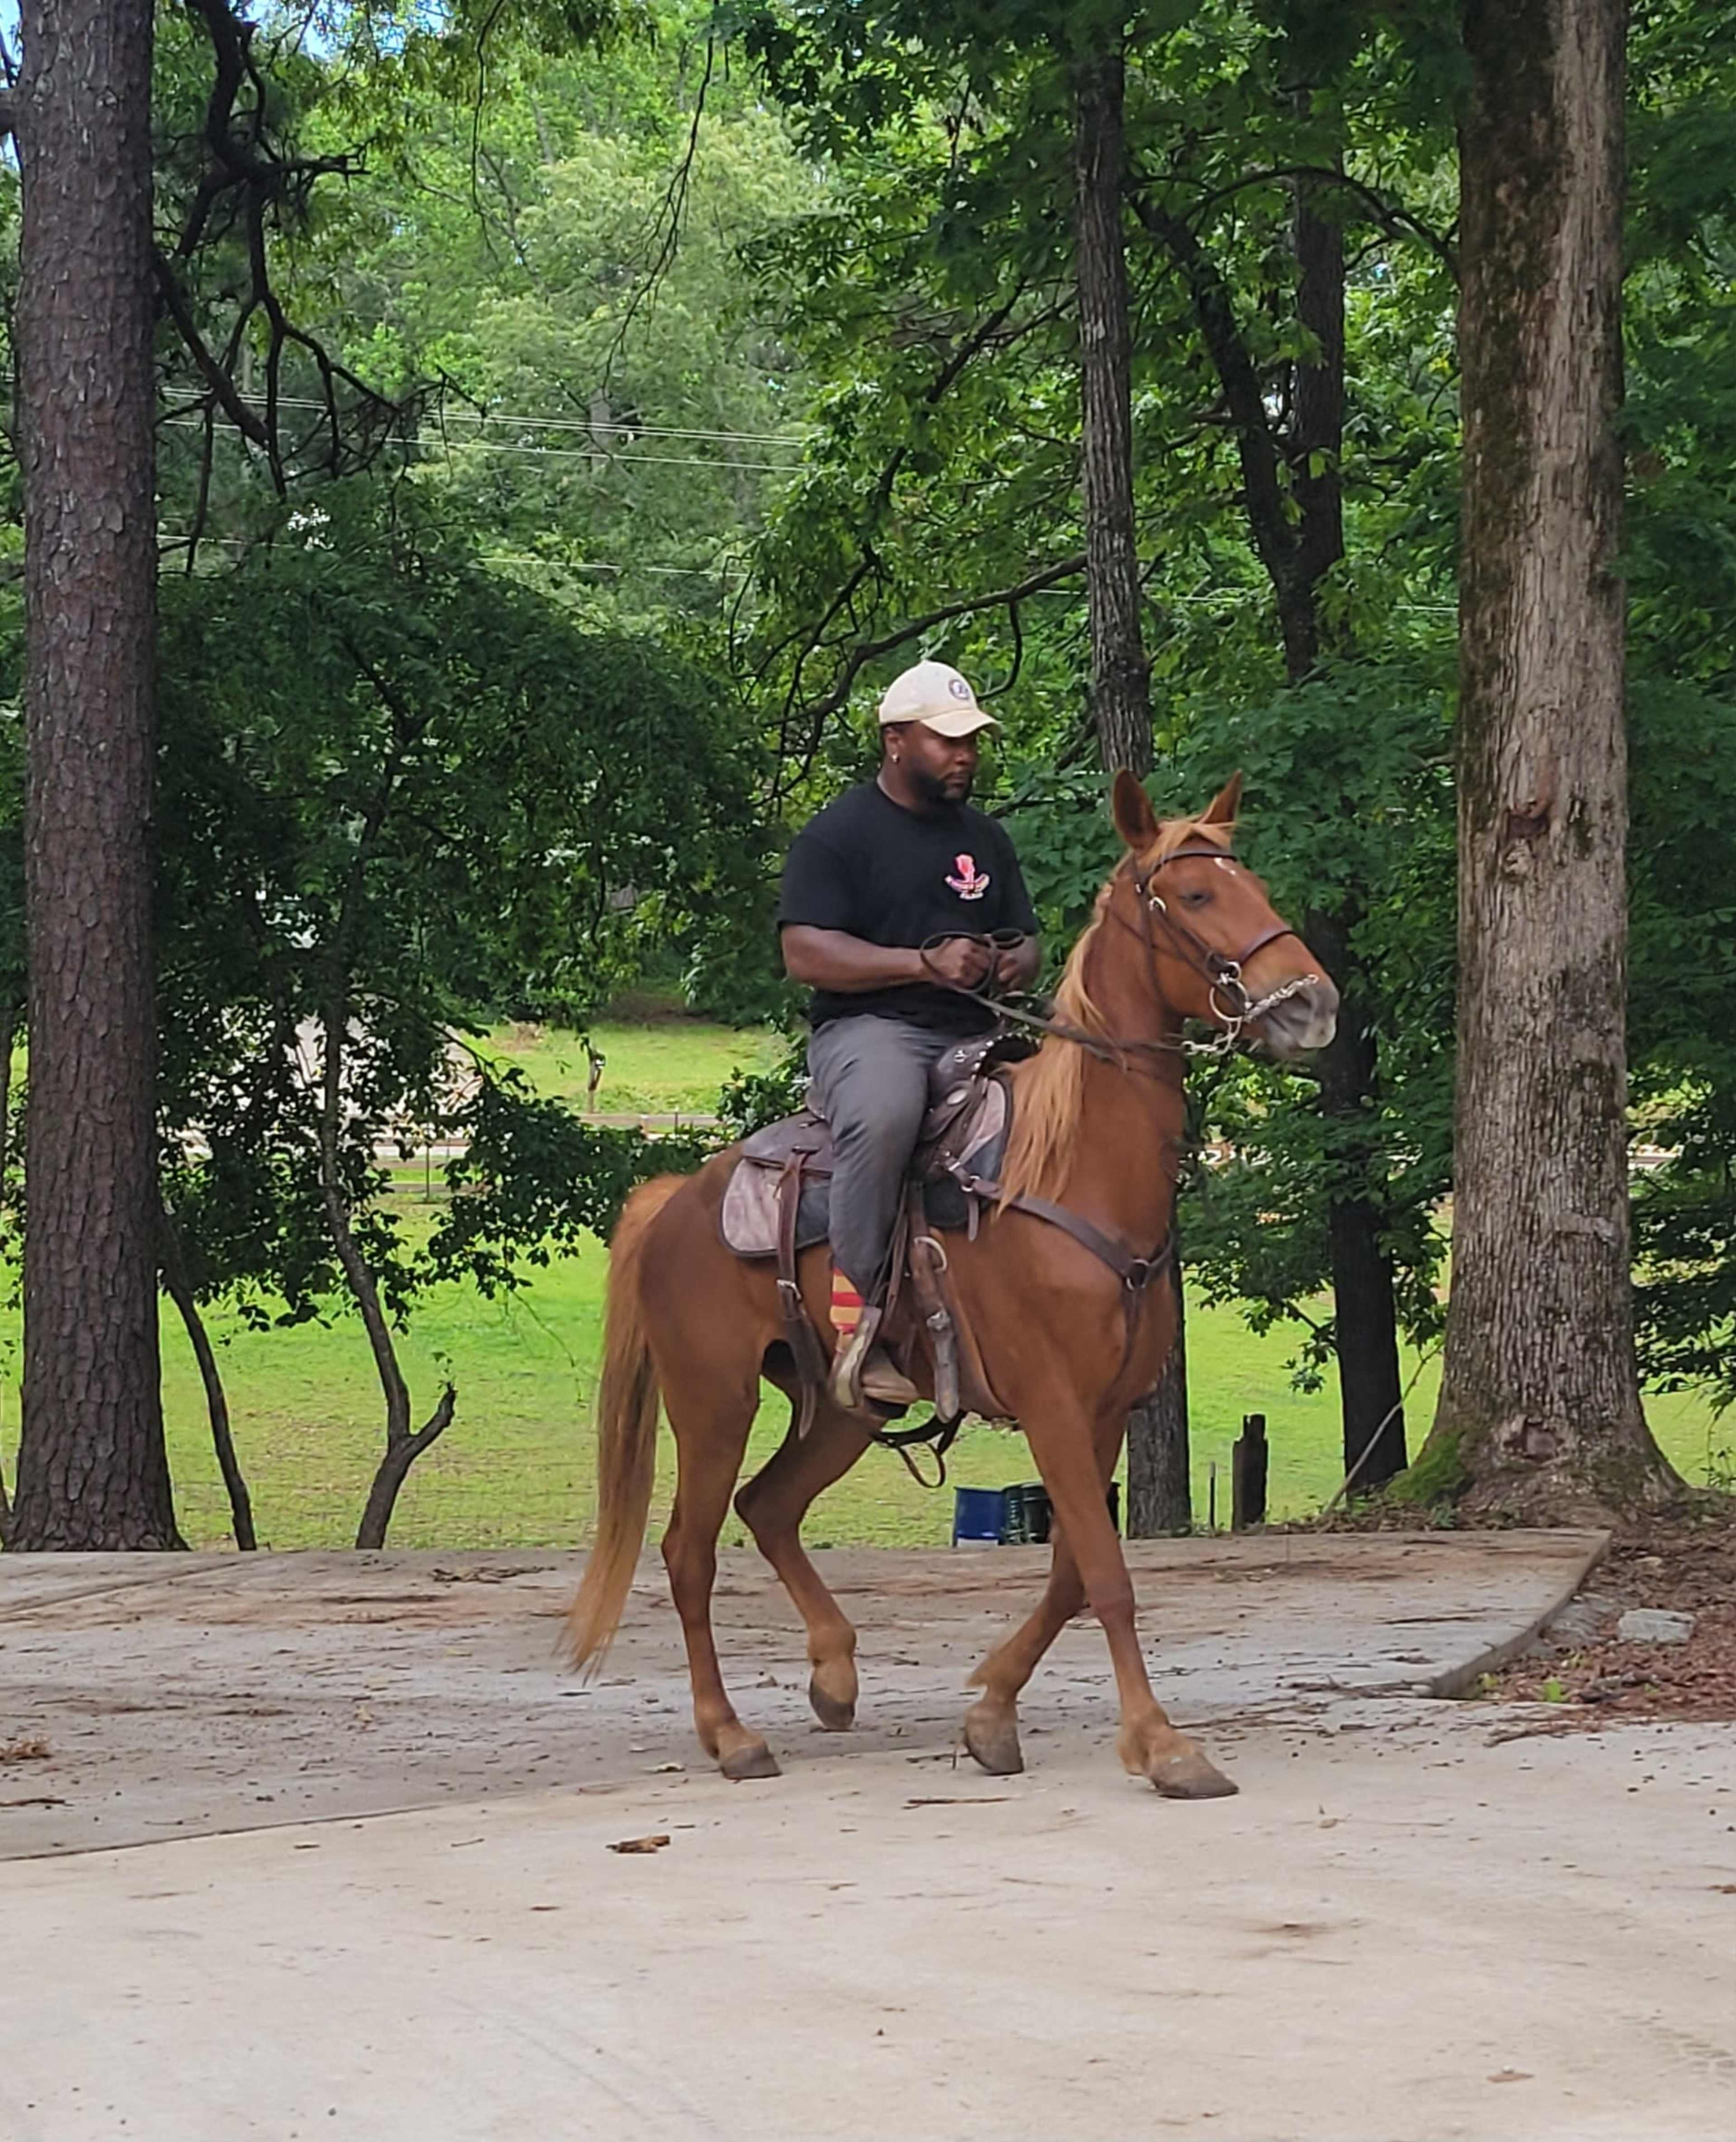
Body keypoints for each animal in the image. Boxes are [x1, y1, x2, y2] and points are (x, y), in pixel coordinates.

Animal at [564, 771, 1339, 1798]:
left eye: (1250, 880)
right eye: (1199, 894)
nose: (1314, 1004)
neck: (1067, 1168)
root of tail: (674, 1201)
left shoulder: (1104, 1412)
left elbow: (1071, 1573)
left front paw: (991, 1712)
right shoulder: (1053, 1404)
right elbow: (1107, 1576)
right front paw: (1163, 1744)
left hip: (841, 1409)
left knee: (768, 1507)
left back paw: (835, 1672)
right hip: (713, 1401)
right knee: (689, 1553)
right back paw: (731, 1735)